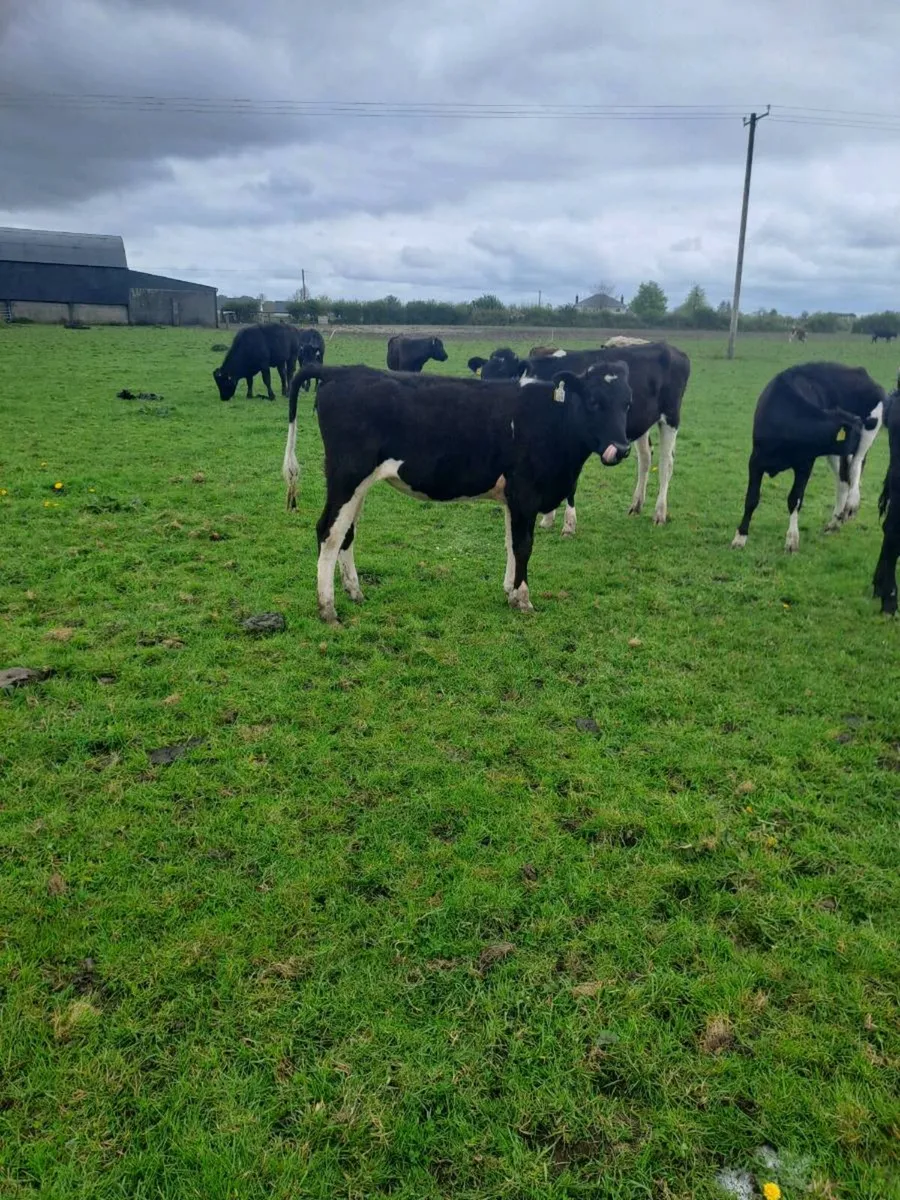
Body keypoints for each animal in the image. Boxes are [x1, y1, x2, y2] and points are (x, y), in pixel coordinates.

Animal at [281, 362, 633, 624]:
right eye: (594, 402)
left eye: (627, 403)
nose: (622, 448)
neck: (551, 419)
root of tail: (341, 371)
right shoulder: (525, 493)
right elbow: (523, 546)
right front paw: (523, 599)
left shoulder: (512, 498)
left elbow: (509, 542)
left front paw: (509, 590)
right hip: (346, 477)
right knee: (328, 532)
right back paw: (328, 609)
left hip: (358, 486)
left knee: (347, 533)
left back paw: (354, 592)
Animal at [467, 342, 690, 533]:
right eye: (484, 376)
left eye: (507, 377)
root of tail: (671, 349)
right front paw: (548, 518)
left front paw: (568, 524)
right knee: (645, 459)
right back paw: (636, 505)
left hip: (671, 417)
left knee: (666, 464)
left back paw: (660, 514)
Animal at [731, 362, 885, 554]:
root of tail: (861, 372)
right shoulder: (756, 461)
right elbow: (752, 498)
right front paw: (740, 537)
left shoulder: (805, 464)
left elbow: (795, 499)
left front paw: (792, 540)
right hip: (837, 453)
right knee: (844, 480)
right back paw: (834, 523)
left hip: (866, 438)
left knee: (855, 470)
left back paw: (852, 503)